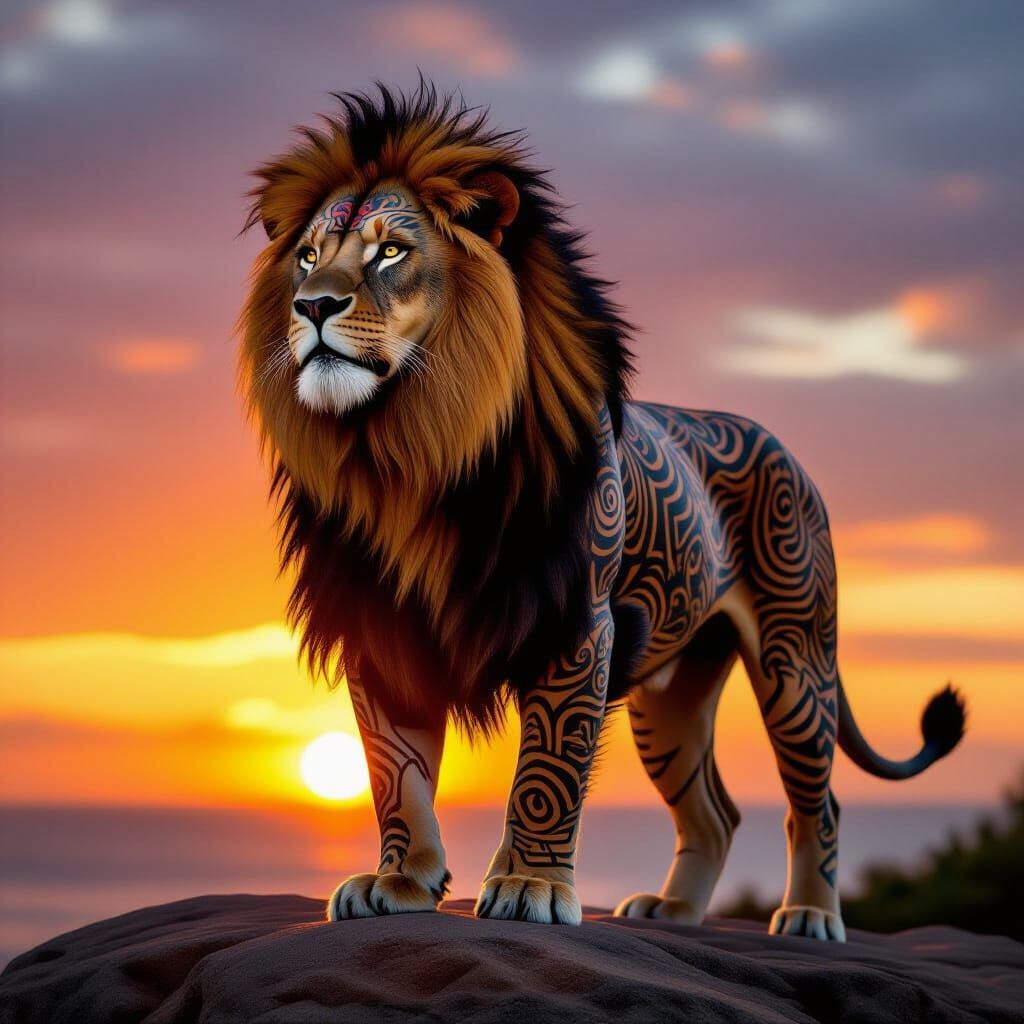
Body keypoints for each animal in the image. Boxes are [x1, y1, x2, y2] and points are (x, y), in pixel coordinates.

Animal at [239, 83, 965, 939]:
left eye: (390, 252)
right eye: (308, 255)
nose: (312, 304)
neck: (410, 451)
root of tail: (782, 447)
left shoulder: (577, 624)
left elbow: (546, 772)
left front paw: (528, 886)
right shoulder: (383, 630)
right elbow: (397, 776)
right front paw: (400, 881)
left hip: (797, 659)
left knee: (816, 804)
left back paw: (810, 917)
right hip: (672, 697)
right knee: (716, 812)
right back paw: (672, 911)